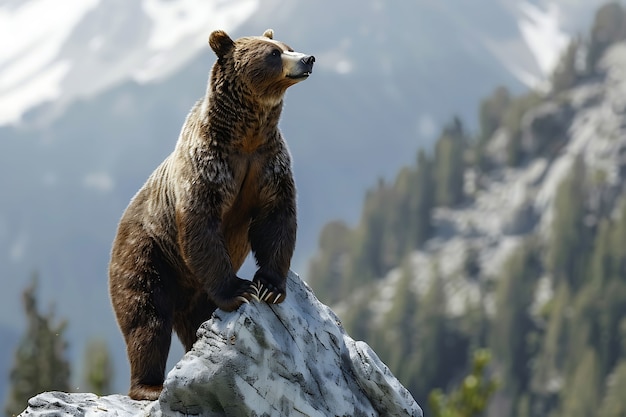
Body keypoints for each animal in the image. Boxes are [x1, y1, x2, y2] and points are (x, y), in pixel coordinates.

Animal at [108, 29, 314, 400]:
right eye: (273, 54)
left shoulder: (269, 164)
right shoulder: (208, 167)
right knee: (147, 318)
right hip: (147, 254)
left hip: (191, 290)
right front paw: (240, 290)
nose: (307, 59)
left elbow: (277, 218)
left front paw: (269, 286)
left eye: (288, 47)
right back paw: (149, 385)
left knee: (193, 318)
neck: (245, 137)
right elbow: (201, 225)